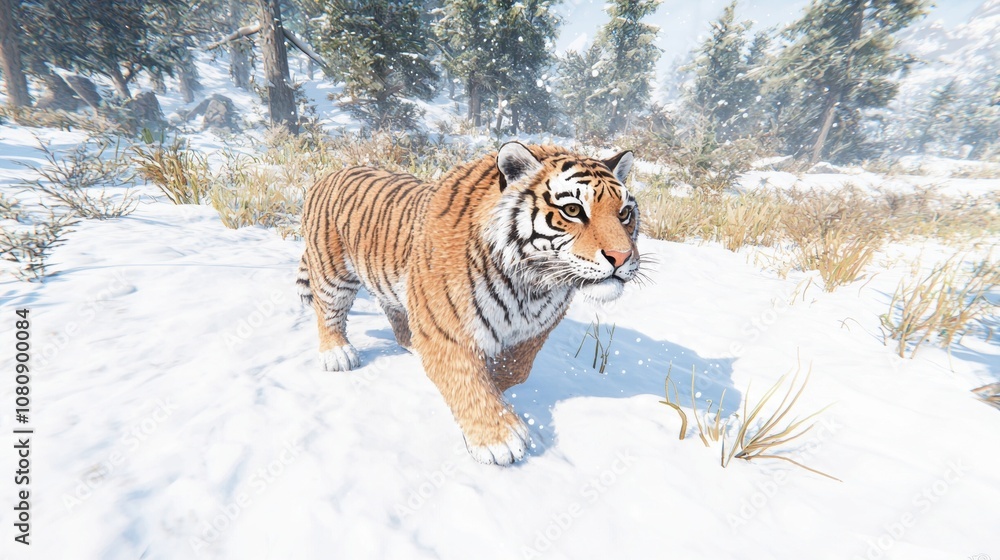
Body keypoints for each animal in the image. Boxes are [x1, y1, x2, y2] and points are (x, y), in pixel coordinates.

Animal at [297, 142, 641, 465]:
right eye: (572, 209)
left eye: (624, 214)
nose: (623, 257)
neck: (533, 286)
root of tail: (330, 173)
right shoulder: (446, 328)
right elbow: (467, 379)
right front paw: (499, 438)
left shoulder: (535, 330)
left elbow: (514, 370)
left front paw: (498, 392)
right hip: (332, 271)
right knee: (329, 311)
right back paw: (337, 354)